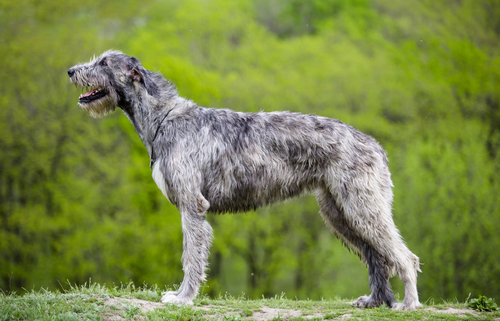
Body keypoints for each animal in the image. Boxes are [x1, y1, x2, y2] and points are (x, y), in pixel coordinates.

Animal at [67, 50, 422, 310]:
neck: (165, 118)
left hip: (362, 207)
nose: (71, 71)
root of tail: (375, 145)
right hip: (340, 213)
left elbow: (191, 256)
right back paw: (375, 301)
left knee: (405, 257)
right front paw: (183, 296)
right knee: (377, 257)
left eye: (103, 63)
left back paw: (408, 304)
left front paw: (182, 298)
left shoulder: (192, 206)